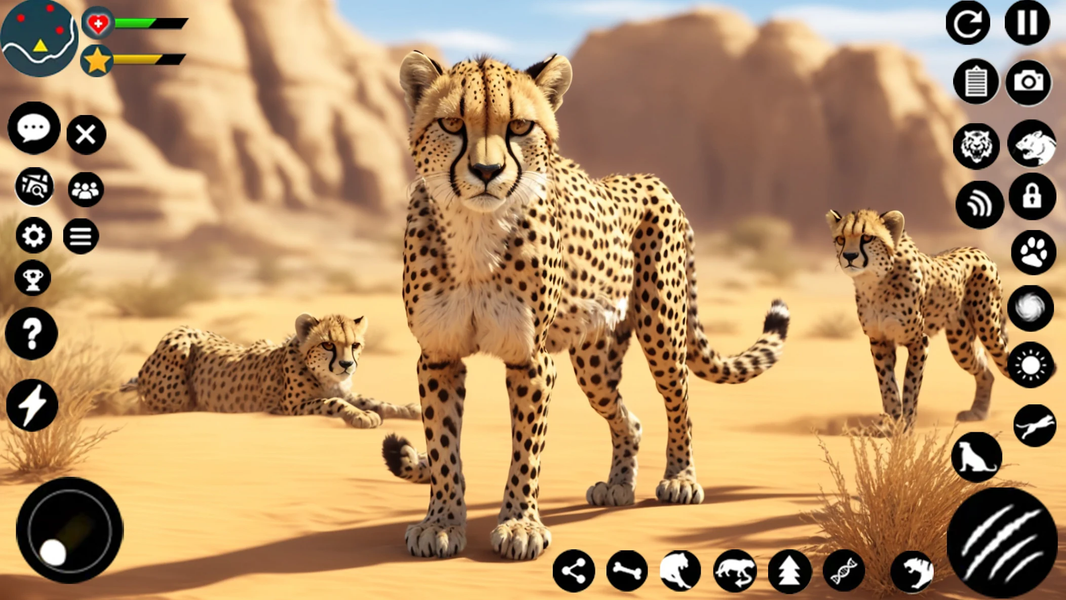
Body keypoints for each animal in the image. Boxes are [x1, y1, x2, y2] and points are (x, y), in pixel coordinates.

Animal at [124, 313, 420, 427]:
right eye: (327, 344)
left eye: (355, 345)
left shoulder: (346, 390)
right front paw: (361, 416)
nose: (347, 365)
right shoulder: (291, 406)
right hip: (179, 349)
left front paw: (409, 409)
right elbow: (332, 402)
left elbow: (374, 400)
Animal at [379, 51, 790, 561]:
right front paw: (441, 522)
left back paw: (679, 478)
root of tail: (650, 178)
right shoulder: (438, 356)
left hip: (662, 332)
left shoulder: (531, 359)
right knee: (629, 419)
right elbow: (441, 447)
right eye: (453, 123)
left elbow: (526, 450)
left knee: (679, 401)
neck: (476, 231)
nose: (487, 172)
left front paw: (519, 525)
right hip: (595, 362)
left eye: (519, 126)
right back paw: (619, 485)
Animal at [827, 209, 1012, 430]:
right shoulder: (879, 341)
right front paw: (890, 422)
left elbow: (911, 384)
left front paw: (906, 424)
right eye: (841, 239)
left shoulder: (918, 341)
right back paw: (979, 412)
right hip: (960, 344)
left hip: (988, 330)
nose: (849, 256)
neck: (875, 281)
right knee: (985, 369)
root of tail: (978, 250)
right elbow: (887, 385)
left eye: (867, 237)